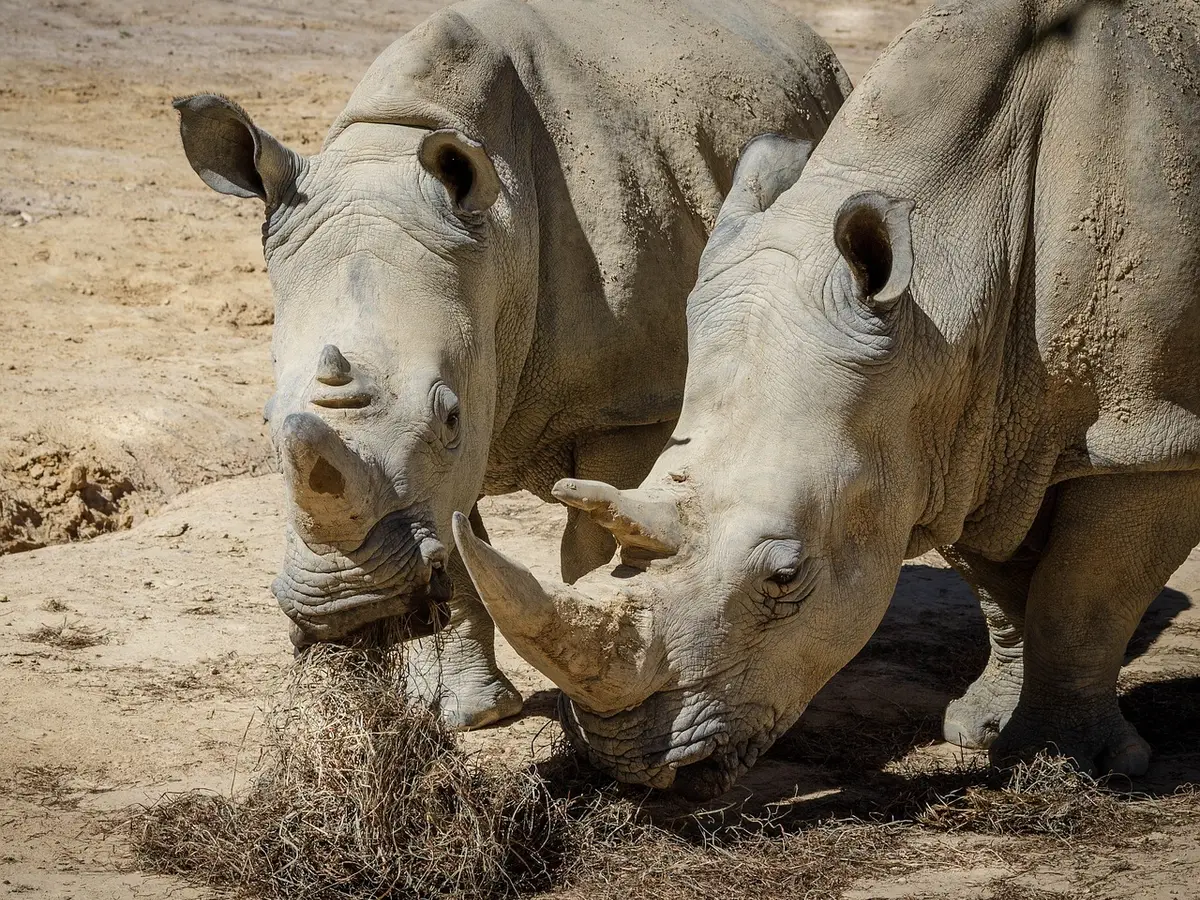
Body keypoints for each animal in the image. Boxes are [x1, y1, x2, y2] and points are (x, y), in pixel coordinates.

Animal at [173, 0, 850, 727]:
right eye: (267, 419)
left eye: (447, 416)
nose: (348, 611)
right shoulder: (470, 390)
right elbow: (460, 545)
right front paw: (470, 715)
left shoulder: (629, 402)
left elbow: (598, 538)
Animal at [456, 0, 1200, 795]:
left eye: (785, 577)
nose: (630, 761)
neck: (949, 291)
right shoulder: (960, 429)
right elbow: (1001, 586)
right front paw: (983, 732)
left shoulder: (1150, 434)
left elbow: (1081, 595)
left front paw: (1064, 764)